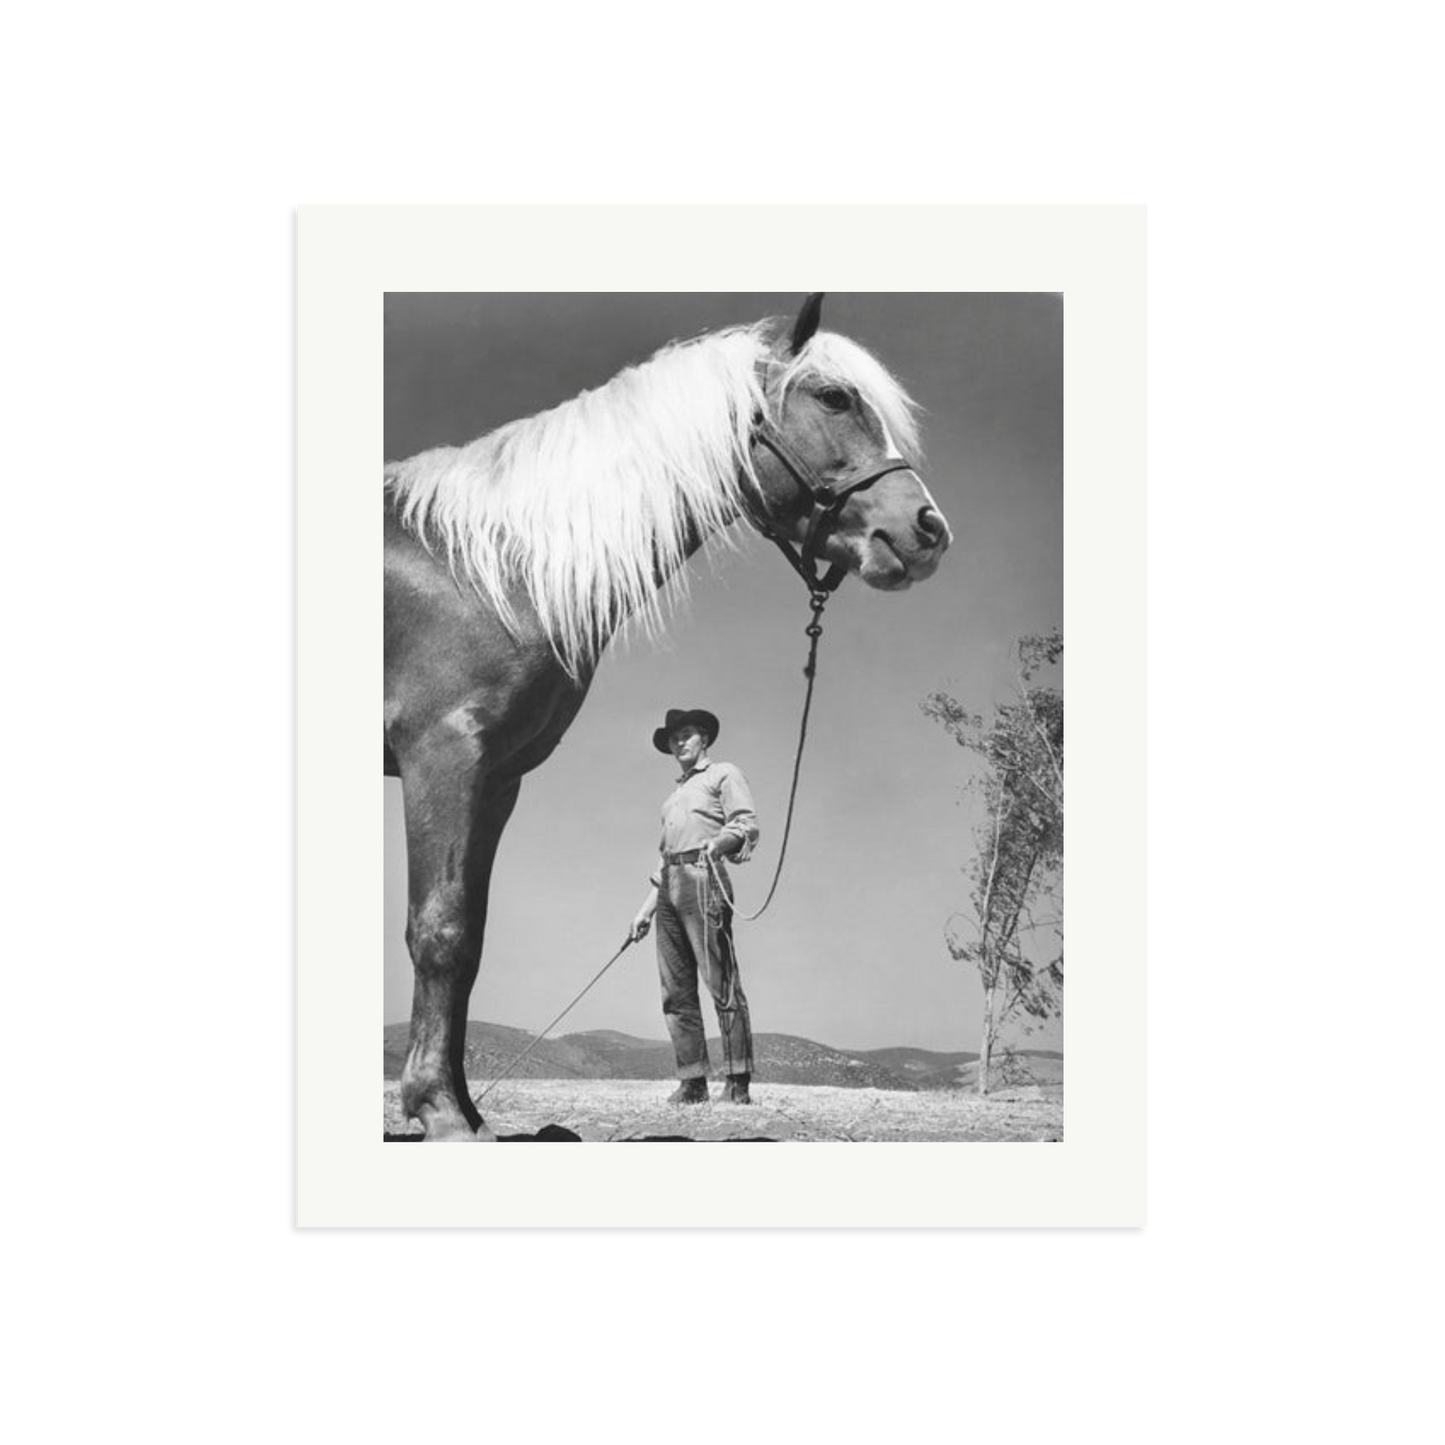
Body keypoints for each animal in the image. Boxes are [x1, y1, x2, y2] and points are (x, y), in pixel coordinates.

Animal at [384, 295, 952, 1141]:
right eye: (833, 397)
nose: (926, 531)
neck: (481, 566)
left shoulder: (497, 778)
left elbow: (472, 936)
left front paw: (461, 1105)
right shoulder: (441, 755)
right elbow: (441, 930)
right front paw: (440, 1111)